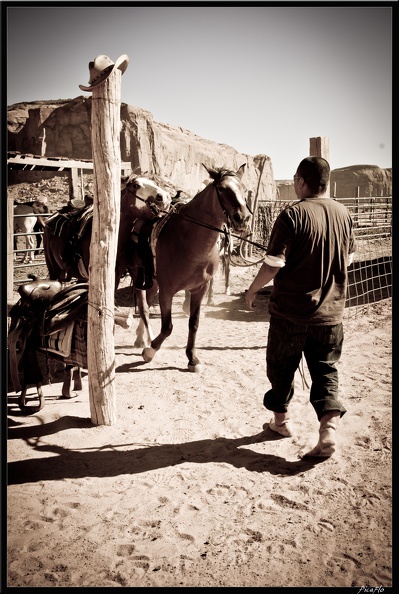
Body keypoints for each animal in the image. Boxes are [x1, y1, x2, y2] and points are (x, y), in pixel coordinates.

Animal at [138, 163, 250, 370]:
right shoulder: (167, 291)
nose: (242, 218)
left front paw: (192, 357)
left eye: (244, 189)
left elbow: (194, 323)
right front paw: (150, 351)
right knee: (143, 307)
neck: (189, 240)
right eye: (221, 188)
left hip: (153, 282)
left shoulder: (200, 289)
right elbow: (167, 327)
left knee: (147, 305)